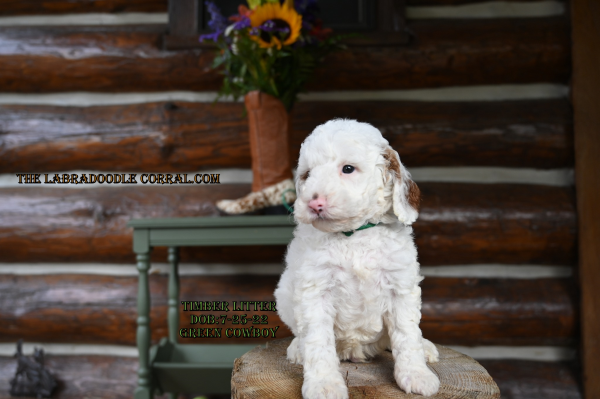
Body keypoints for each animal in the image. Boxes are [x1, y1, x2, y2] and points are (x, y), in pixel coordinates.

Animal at [274, 119, 438, 399]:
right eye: (307, 175)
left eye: (348, 169)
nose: (314, 203)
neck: (353, 235)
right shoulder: (315, 289)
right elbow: (317, 340)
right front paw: (324, 385)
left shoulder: (400, 285)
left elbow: (406, 333)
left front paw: (417, 375)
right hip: (284, 293)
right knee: (300, 333)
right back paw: (297, 349)